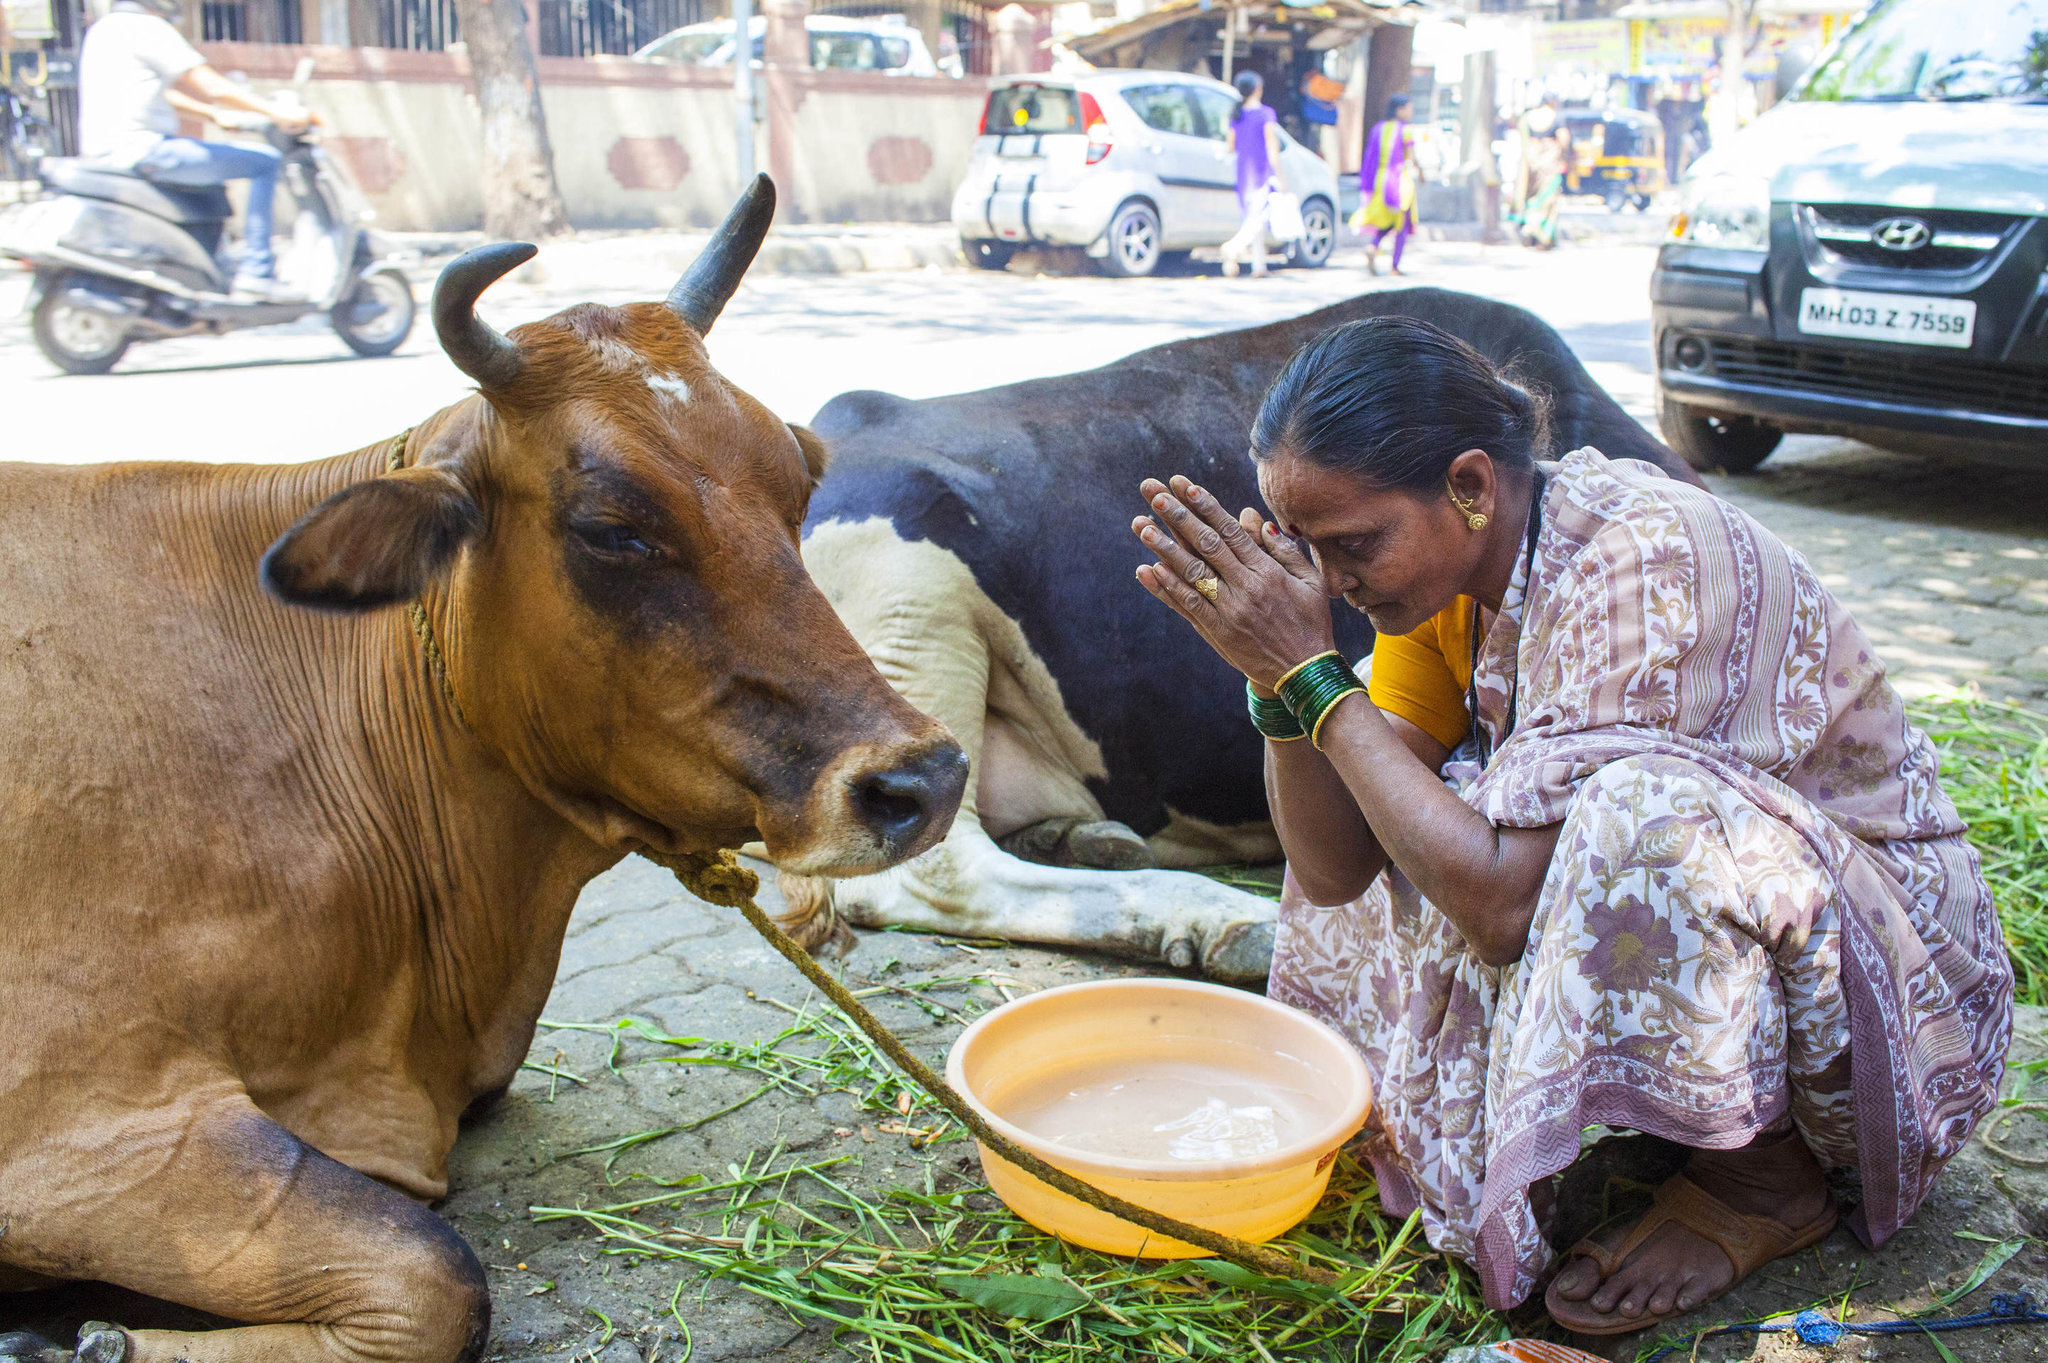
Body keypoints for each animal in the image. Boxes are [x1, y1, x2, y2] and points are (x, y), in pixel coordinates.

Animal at [0, 178, 966, 1358]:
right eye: (611, 527)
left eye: (800, 477)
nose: (921, 780)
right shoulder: (77, 1111)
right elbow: (435, 1276)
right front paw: (90, 1336)